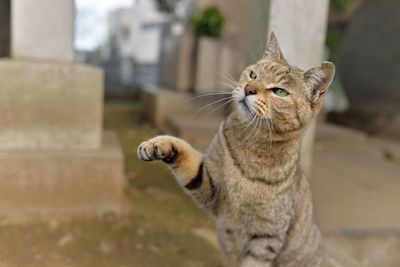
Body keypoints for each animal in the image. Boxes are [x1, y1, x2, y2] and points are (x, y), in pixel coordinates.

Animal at [138, 32, 334, 266]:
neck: (251, 143)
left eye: (279, 91)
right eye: (253, 74)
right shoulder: (210, 186)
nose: (249, 88)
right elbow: (186, 156)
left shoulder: (266, 238)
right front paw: (157, 144)